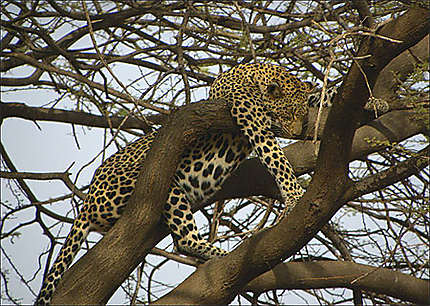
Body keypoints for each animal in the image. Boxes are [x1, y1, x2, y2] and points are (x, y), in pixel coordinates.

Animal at [35, 62, 320, 304]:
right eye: (289, 112)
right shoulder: (249, 116)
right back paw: (224, 254)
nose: (298, 133)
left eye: (304, 115)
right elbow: (275, 156)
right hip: (159, 184)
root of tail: (87, 202)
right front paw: (295, 194)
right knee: (183, 240)